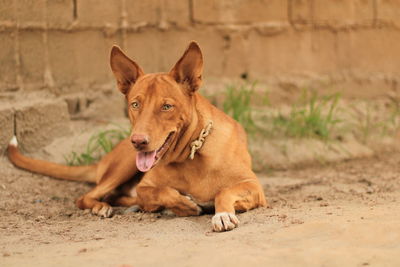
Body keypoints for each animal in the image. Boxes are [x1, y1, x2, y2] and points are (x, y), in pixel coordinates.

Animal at [7, 41, 266, 232]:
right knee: (87, 197)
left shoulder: (254, 186)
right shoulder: (146, 185)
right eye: (135, 104)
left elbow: (224, 191)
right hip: (124, 166)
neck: (191, 154)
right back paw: (103, 207)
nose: (138, 142)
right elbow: (162, 192)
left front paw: (221, 214)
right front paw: (183, 204)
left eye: (167, 107)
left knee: (115, 196)